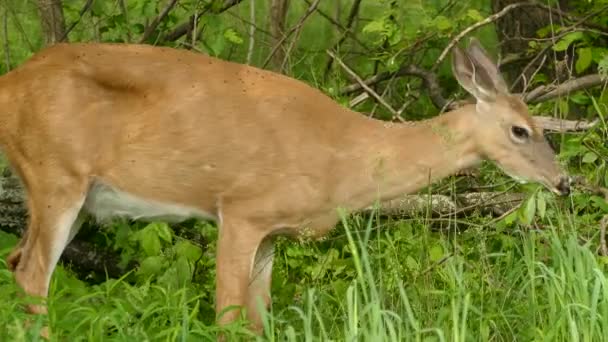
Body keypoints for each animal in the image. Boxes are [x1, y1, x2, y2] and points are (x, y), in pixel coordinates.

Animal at [0, 38, 568, 336]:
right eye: (520, 130)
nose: (564, 181)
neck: (343, 156)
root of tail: (9, 84)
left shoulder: (272, 230)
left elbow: (258, 319)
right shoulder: (240, 209)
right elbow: (228, 313)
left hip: (64, 192)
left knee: (17, 260)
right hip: (56, 175)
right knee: (32, 274)